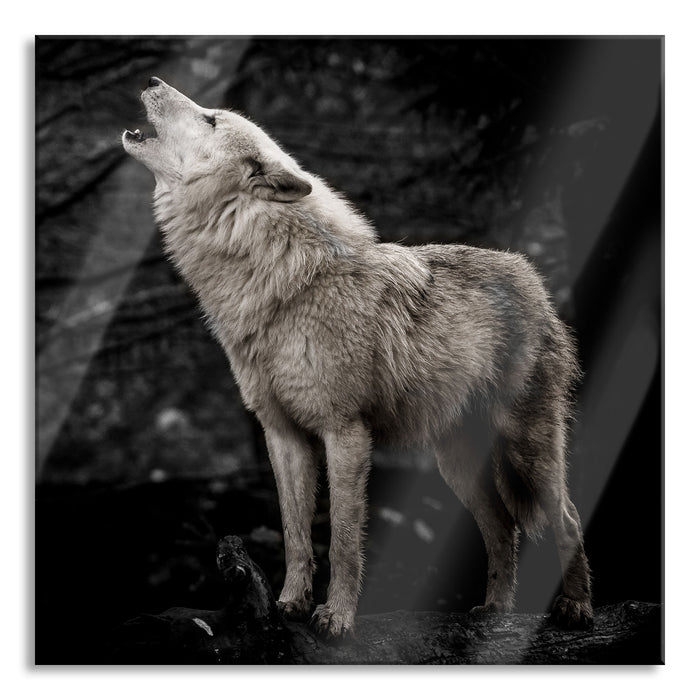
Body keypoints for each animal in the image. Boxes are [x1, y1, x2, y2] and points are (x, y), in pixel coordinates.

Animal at [123, 77, 593, 638]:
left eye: (211, 118)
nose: (153, 80)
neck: (283, 285)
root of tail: (531, 278)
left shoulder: (344, 431)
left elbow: (344, 539)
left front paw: (337, 618)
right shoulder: (282, 435)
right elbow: (296, 534)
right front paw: (289, 604)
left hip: (527, 451)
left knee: (567, 518)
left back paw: (577, 608)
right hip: (456, 463)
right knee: (503, 527)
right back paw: (494, 611)